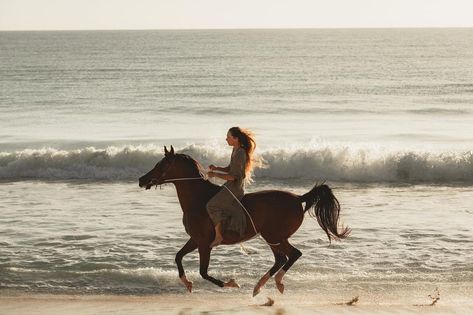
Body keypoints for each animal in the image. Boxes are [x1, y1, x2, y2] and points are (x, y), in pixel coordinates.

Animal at [138, 146, 348, 296]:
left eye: (162, 165)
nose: (142, 180)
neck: (198, 200)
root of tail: (298, 198)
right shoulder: (195, 240)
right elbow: (178, 257)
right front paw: (187, 283)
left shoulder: (204, 244)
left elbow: (203, 272)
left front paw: (231, 283)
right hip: (274, 238)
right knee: (282, 258)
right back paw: (259, 287)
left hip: (273, 236)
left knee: (291, 255)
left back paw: (273, 284)